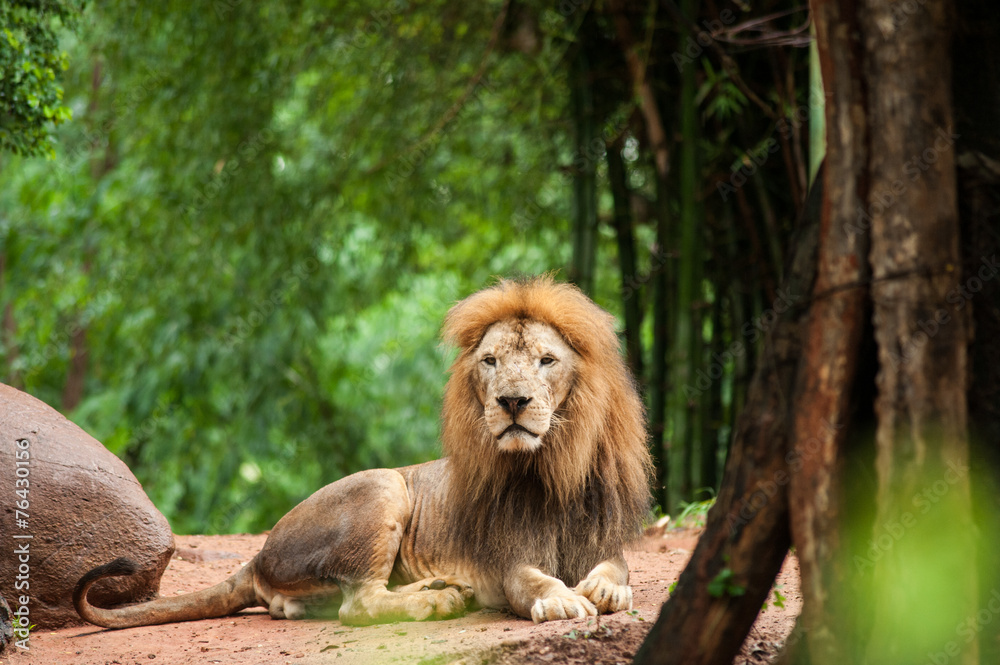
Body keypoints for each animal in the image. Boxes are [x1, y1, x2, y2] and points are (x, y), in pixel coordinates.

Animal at [74, 276, 652, 628]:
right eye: (490, 361)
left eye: (546, 360)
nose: (512, 401)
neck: (547, 466)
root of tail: (257, 556)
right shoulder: (506, 560)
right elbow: (533, 578)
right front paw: (561, 597)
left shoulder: (602, 535)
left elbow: (617, 568)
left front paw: (605, 591)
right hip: (383, 484)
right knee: (358, 603)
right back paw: (441, 598)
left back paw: (440, 587)